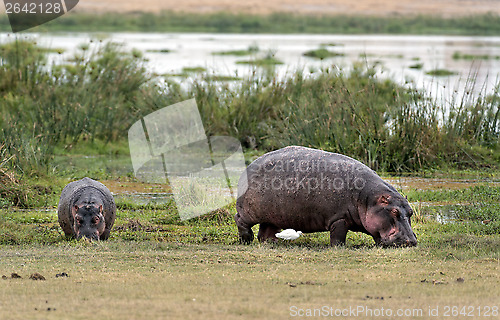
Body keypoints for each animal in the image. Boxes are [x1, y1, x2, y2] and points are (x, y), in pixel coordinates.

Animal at [236, 146, 416, 246]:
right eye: (394, 212)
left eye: (411, 212)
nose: (411, 241)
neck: (367, 199)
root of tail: (249, 166)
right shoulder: (339, 218)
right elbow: (338, 236)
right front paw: (338, 247)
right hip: (249, 211)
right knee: (240, 220)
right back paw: (246, 239)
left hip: (273, 215)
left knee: (265, 231)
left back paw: (273, 241)